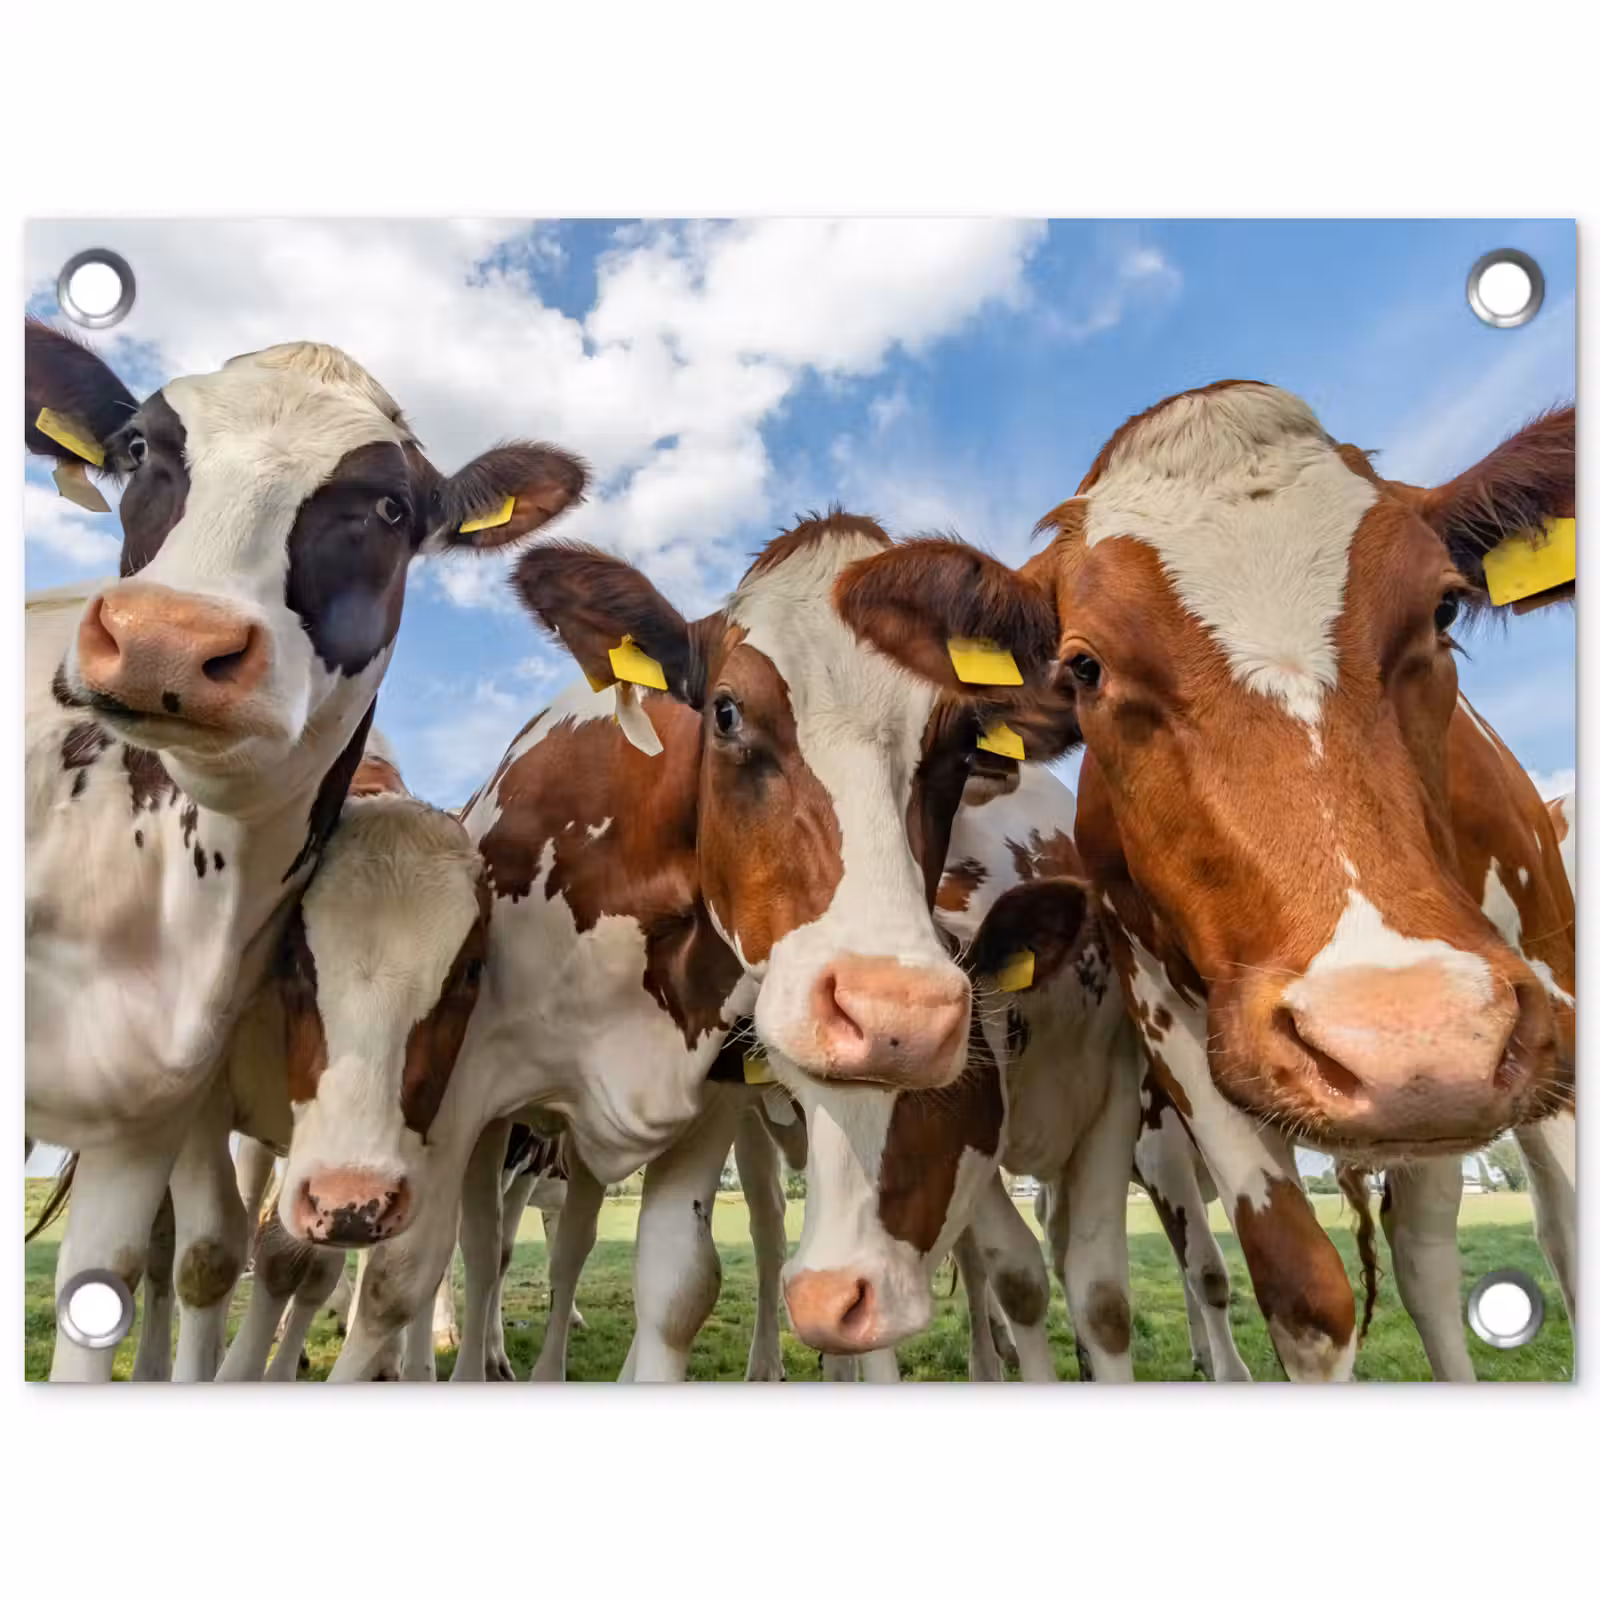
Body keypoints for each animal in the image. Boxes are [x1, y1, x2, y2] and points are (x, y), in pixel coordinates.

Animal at [24, 320, 587, 1380]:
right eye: (139, 449)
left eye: (391, 505)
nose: (167, 640)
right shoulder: (195, 1109)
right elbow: (208, 1252)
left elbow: (333, 1261)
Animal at [323, 510, 1074, 1381]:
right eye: (726, 712)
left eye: (962, 747)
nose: (899, 1014)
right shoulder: (459, 1091)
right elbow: (402, 1275)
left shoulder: (708, 1101)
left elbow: (679, 1286)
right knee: (477, 1253)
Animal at [833, 382, 1576, 1381]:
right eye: (1085, 665)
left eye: (1446, 611)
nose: (1407, 1035)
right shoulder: (1172, 1030)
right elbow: (1301, 1293)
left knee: (1445, 1258)